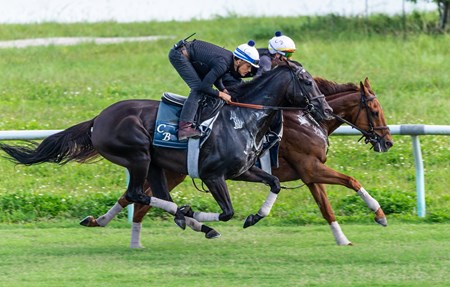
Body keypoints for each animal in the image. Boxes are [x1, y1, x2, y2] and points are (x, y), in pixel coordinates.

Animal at [82, 76, 392, 248]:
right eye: (375, 110)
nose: (387, 141)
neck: (309, 119)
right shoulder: (311, 167)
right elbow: (351, 180)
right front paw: (379, 214)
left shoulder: (309, 173)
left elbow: (325, 207)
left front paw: (342, 238)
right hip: (167, 169)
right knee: (140, 198)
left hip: (165, 170)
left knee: (137, 197)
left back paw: (105, 223)